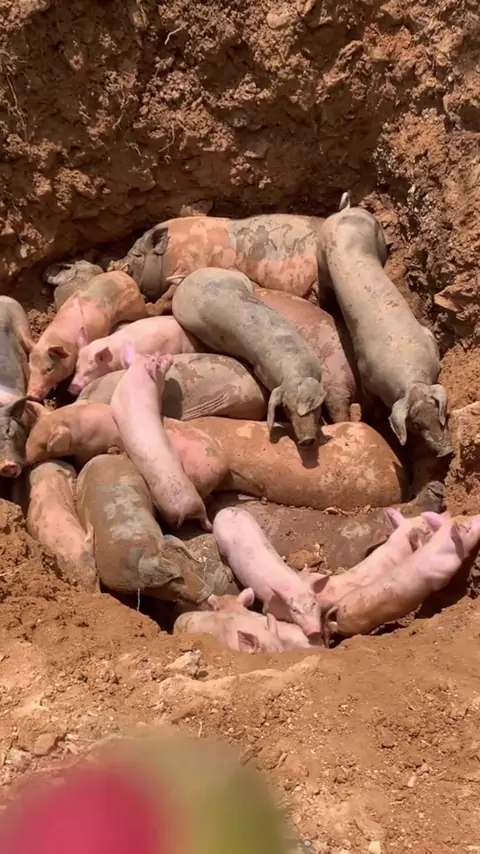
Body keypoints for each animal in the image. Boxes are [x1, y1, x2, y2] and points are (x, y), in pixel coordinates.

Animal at [111, 346, 211, 530]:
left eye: (148, 354)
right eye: (157, 361)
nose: (167, 354)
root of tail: (182, 510)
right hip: (196, 501)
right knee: (205, 519)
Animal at [213, 507, 323, 640]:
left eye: (314, 603)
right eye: (295, 610)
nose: (315, 631)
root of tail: (225, 510)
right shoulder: (268, 606)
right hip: (219, 542)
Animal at [319, 197, 452, 456]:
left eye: (436, 411)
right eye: (415, 424)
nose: (446, 452)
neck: (412, 383)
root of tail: (344, 211)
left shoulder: (428, 338)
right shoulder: (366, 376)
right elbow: (368, 403)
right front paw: (369, 420)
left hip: (378, 236)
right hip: (320, 253)